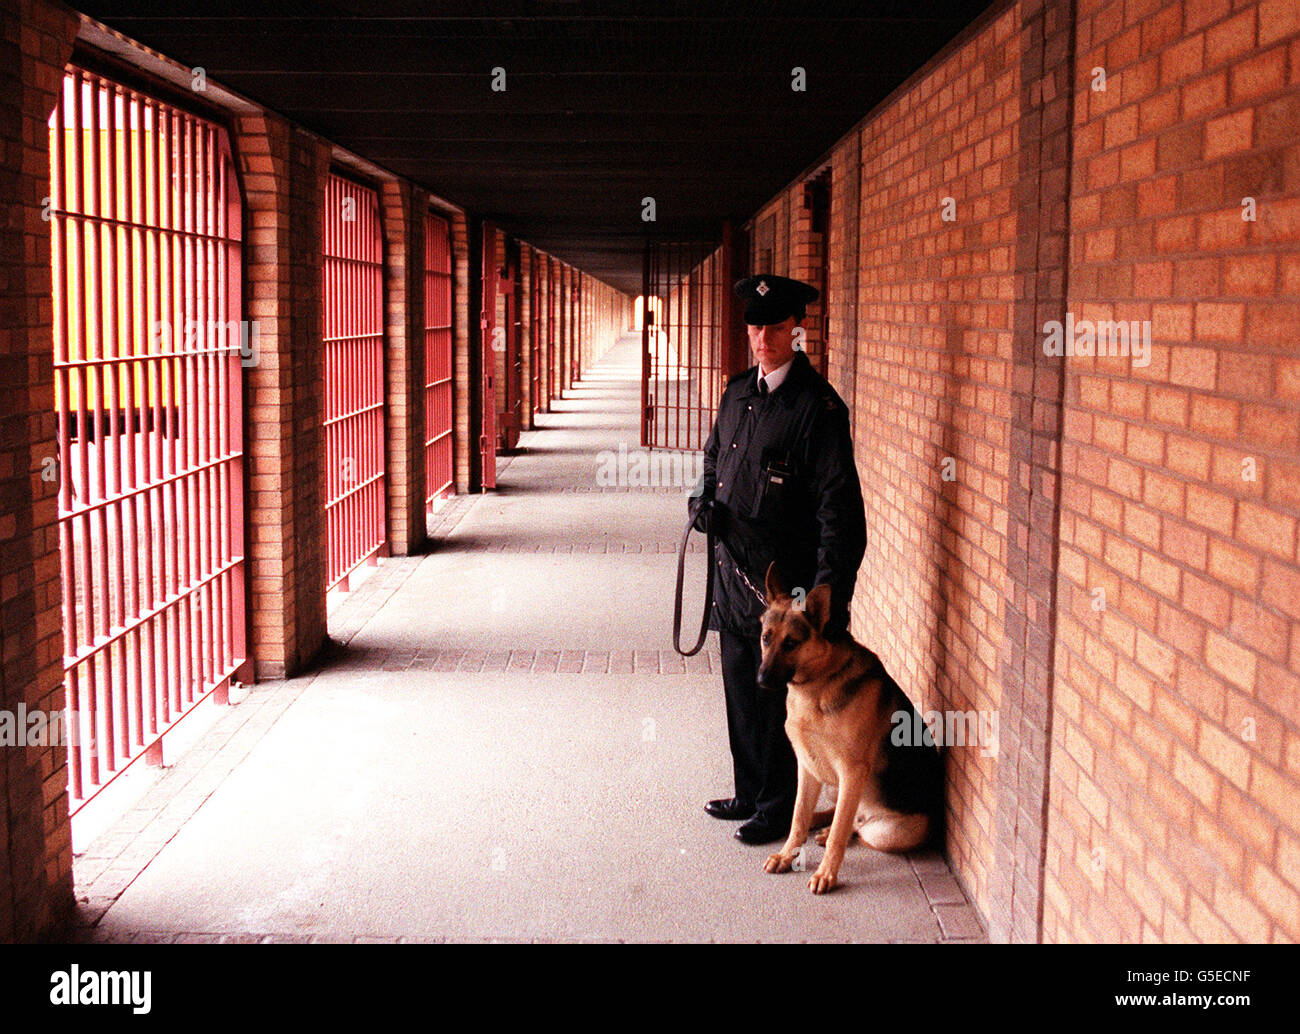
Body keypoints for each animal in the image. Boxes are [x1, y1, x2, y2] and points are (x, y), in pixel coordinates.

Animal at [759, 561, 941, 894]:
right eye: (766, 638)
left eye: (791, 643)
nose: (762, 680)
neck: (818, 684)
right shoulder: (808, 767)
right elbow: (798, 817)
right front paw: (787, 854)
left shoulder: (851, 772)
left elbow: (839, 835)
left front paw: (826, 873)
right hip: (833, 785)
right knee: (841, 816)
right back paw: (821, 824)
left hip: (887, 831)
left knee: (856, 826)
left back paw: (830, 830)